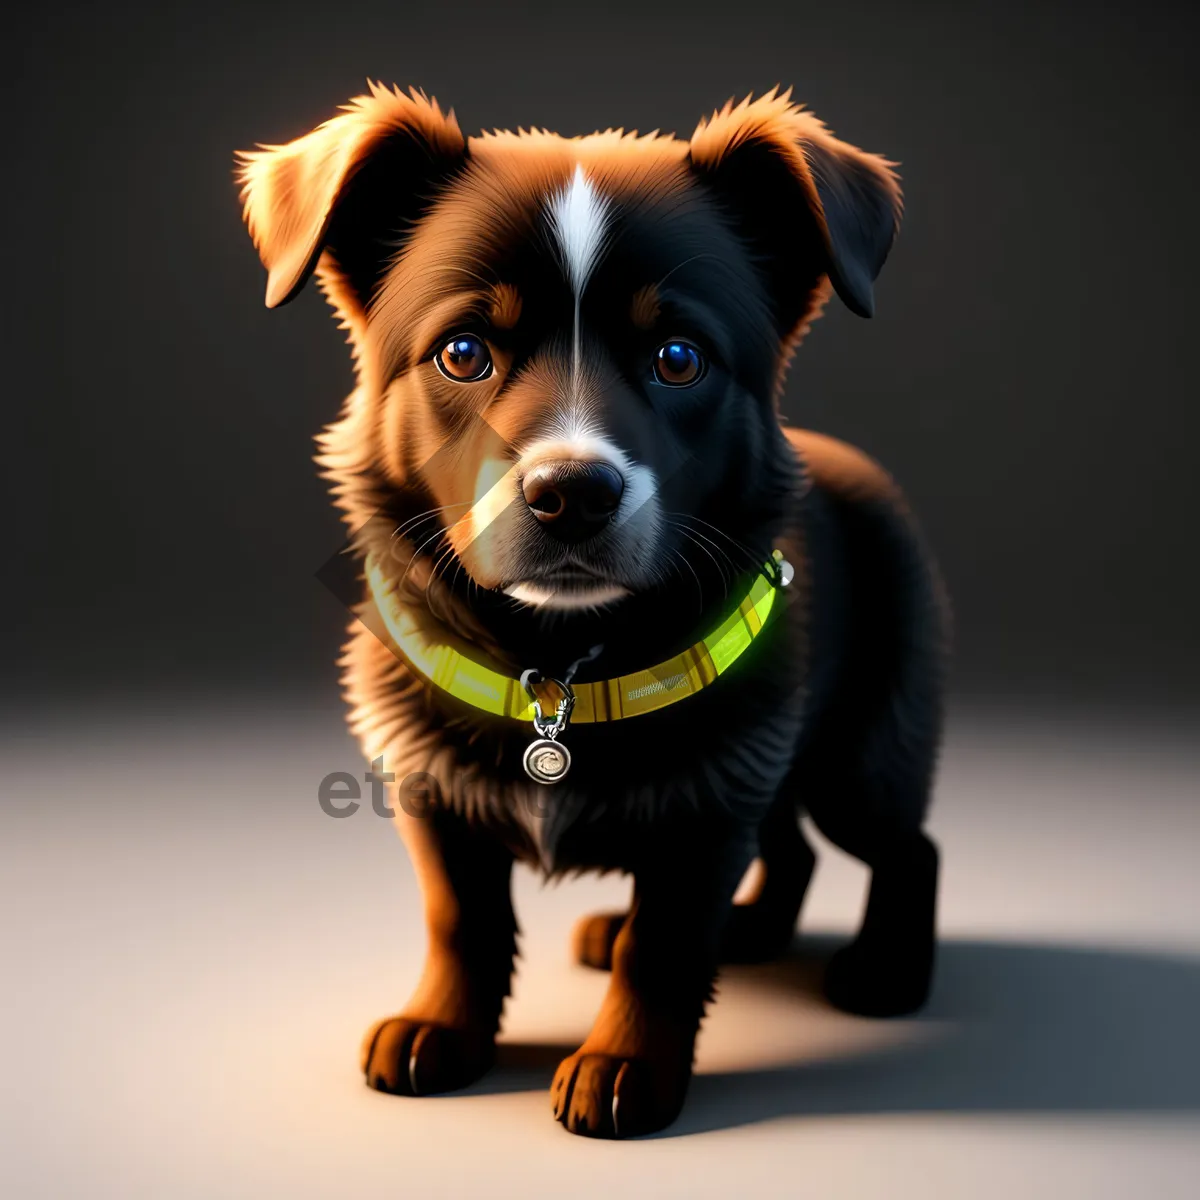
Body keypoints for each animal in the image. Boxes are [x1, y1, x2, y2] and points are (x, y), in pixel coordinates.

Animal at [234, 82, 945, 1132]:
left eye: (680, 358)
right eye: (462, 353)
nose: (571, 494)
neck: (559, 657)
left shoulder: (710, 804)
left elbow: (665, 944)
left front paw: (624, 1067)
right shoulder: (431, 790)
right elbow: (461, 919)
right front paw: (442, 1028)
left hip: (860, 747)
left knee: (906, 844)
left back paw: (886, 973)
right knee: (791, 846)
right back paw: (754, 932)